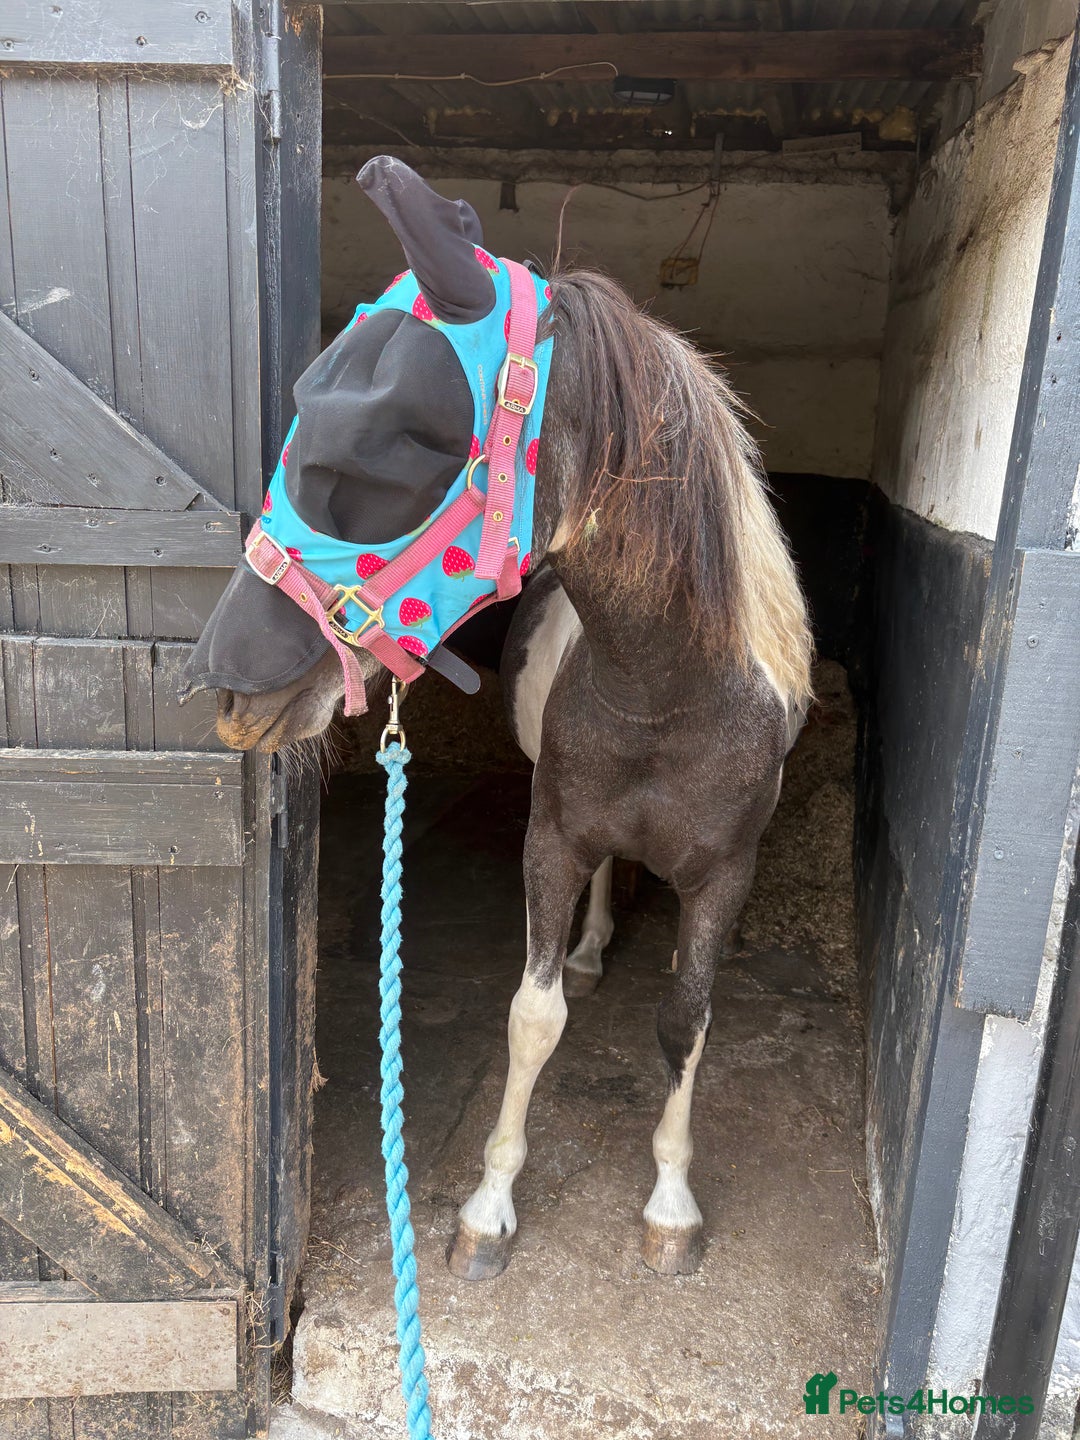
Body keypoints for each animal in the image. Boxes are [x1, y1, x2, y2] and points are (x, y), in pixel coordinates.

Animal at [184, 169, 812, 1280]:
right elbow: (532, 1018)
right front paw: (488, 1206)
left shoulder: (725, 877)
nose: (233, 692)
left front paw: (671, 1205)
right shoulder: (552, 838)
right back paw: (594, 949)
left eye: (408, 439)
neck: (668, 696)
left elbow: (686, 1022)